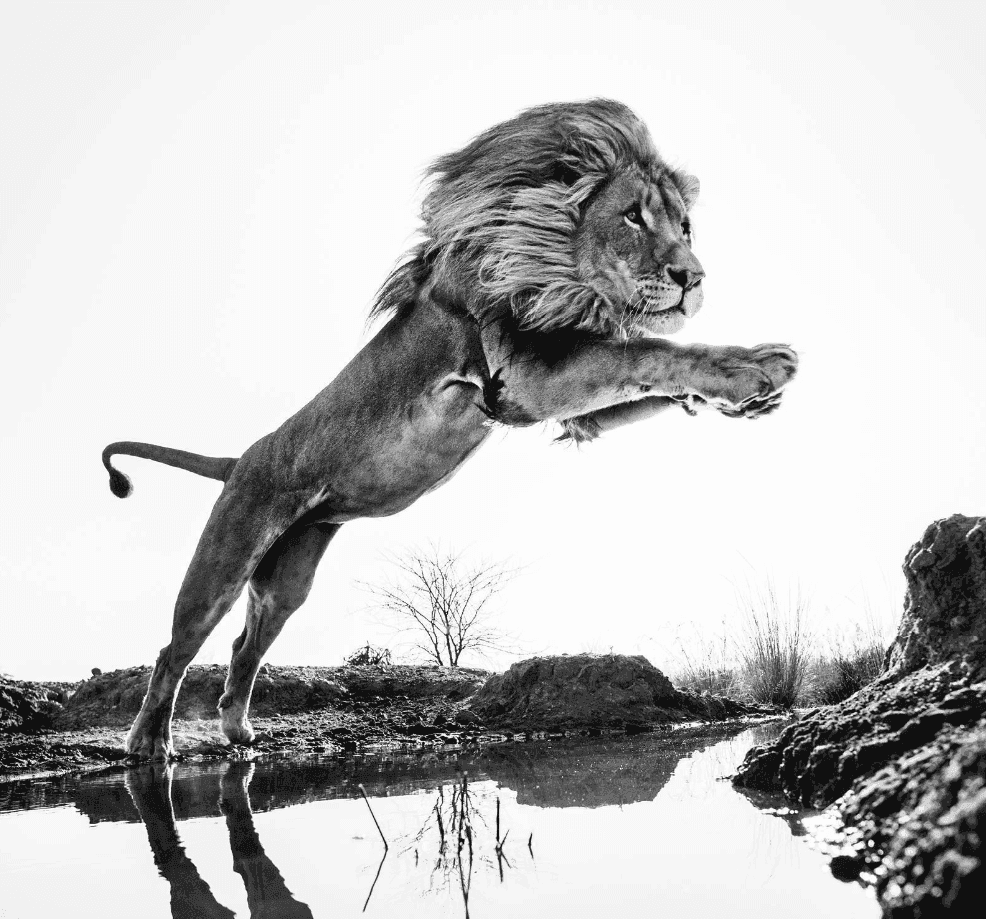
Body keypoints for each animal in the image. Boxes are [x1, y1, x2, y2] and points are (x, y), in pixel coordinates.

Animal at [104, 99, 798, 760]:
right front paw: (755, 367)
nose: (693, 278)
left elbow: (647, 374)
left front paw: (741, 400)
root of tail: (240, 459)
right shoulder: (524, 381)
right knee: (176, 648)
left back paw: (237, 730)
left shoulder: (569, 406)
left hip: (288, 577)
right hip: (226, 558)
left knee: (246, 644)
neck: (553, 264)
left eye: (685, 226)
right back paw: (149, 742)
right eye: (632, 216)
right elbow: (649, 352)